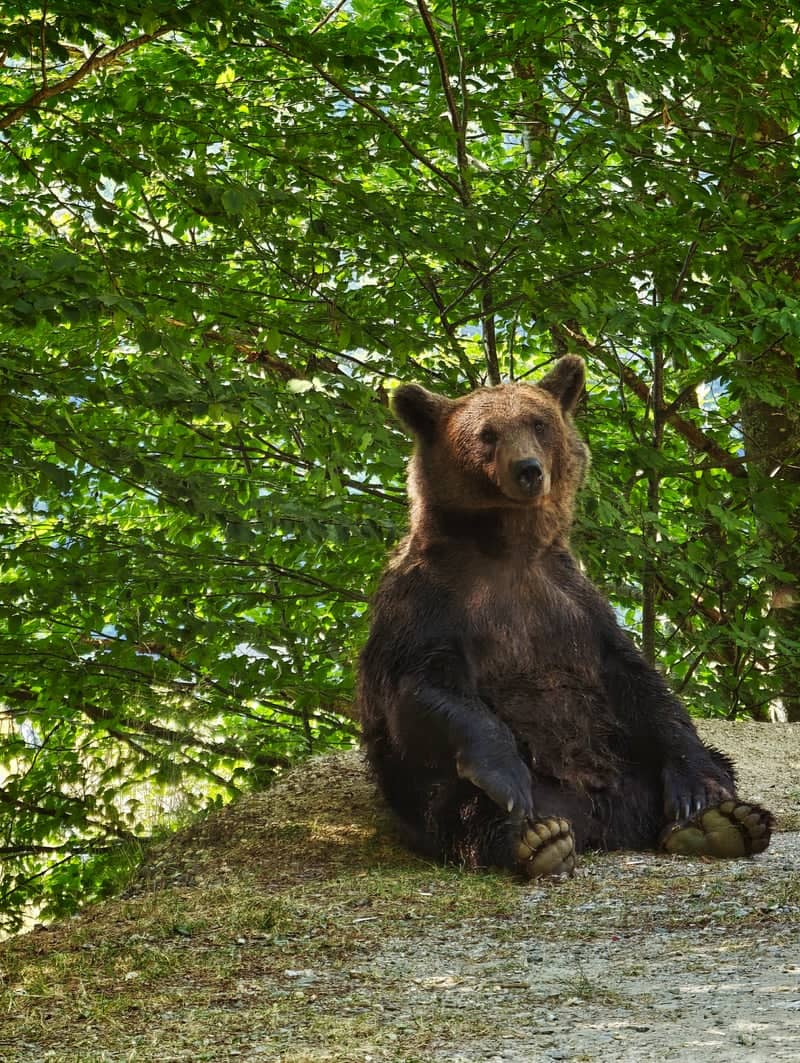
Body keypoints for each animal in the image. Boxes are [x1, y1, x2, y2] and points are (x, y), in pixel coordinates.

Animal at [357, 355, 773, 878]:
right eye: (487, 433)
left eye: (538, 423)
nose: (528, 470)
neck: (507, 549)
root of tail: (606, 823)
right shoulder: (430, 599)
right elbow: (424, 682)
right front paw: (506, 777)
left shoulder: (574, 600)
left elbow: (638, 683)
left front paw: (698, 790)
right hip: (432, 787)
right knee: (456, 804)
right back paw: (535, 837)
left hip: (626, 761)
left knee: (712, 763)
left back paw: (721, 821)